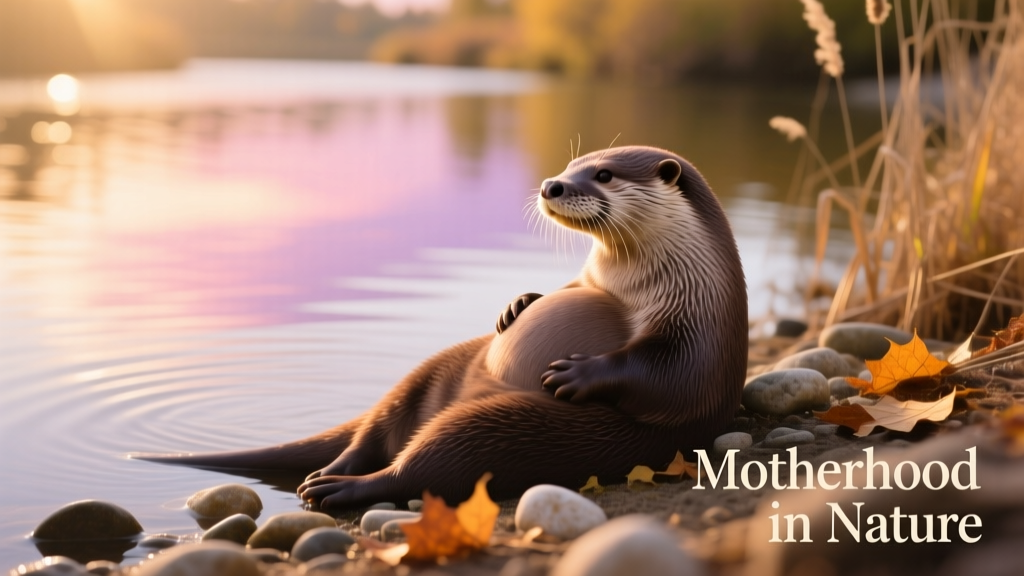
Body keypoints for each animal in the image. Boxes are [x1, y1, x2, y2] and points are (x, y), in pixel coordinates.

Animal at [140, 146, 747, 509]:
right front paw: (519, 303)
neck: (637, 282)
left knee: (422, 466)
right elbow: (560, 293)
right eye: (575, 161)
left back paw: (341, 488)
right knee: (377, 430)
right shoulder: (587, 279)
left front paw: (578, 374)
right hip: (434, 368)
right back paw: (331, 472)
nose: (551, 184)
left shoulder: (700, 332)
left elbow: (667, 377)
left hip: (507, 428)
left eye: (603, 174)